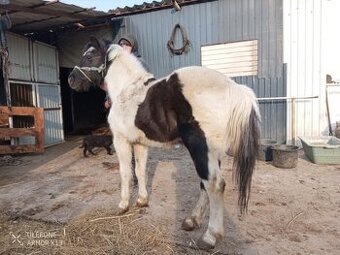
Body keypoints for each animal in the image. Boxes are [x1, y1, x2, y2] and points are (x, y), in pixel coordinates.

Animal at [68, 36, 260, 250]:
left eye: (90, 55)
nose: (71, 80)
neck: (127, 89)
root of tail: (236, 89)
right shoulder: (139, 143)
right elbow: (140, 171)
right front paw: (141, 201)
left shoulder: (121, 141)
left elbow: (125, 173)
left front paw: (123, 206)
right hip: (213, 152)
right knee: (205, 185)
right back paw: (191, 221)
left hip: (200, 147)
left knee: (214, 185)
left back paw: (210, 237)